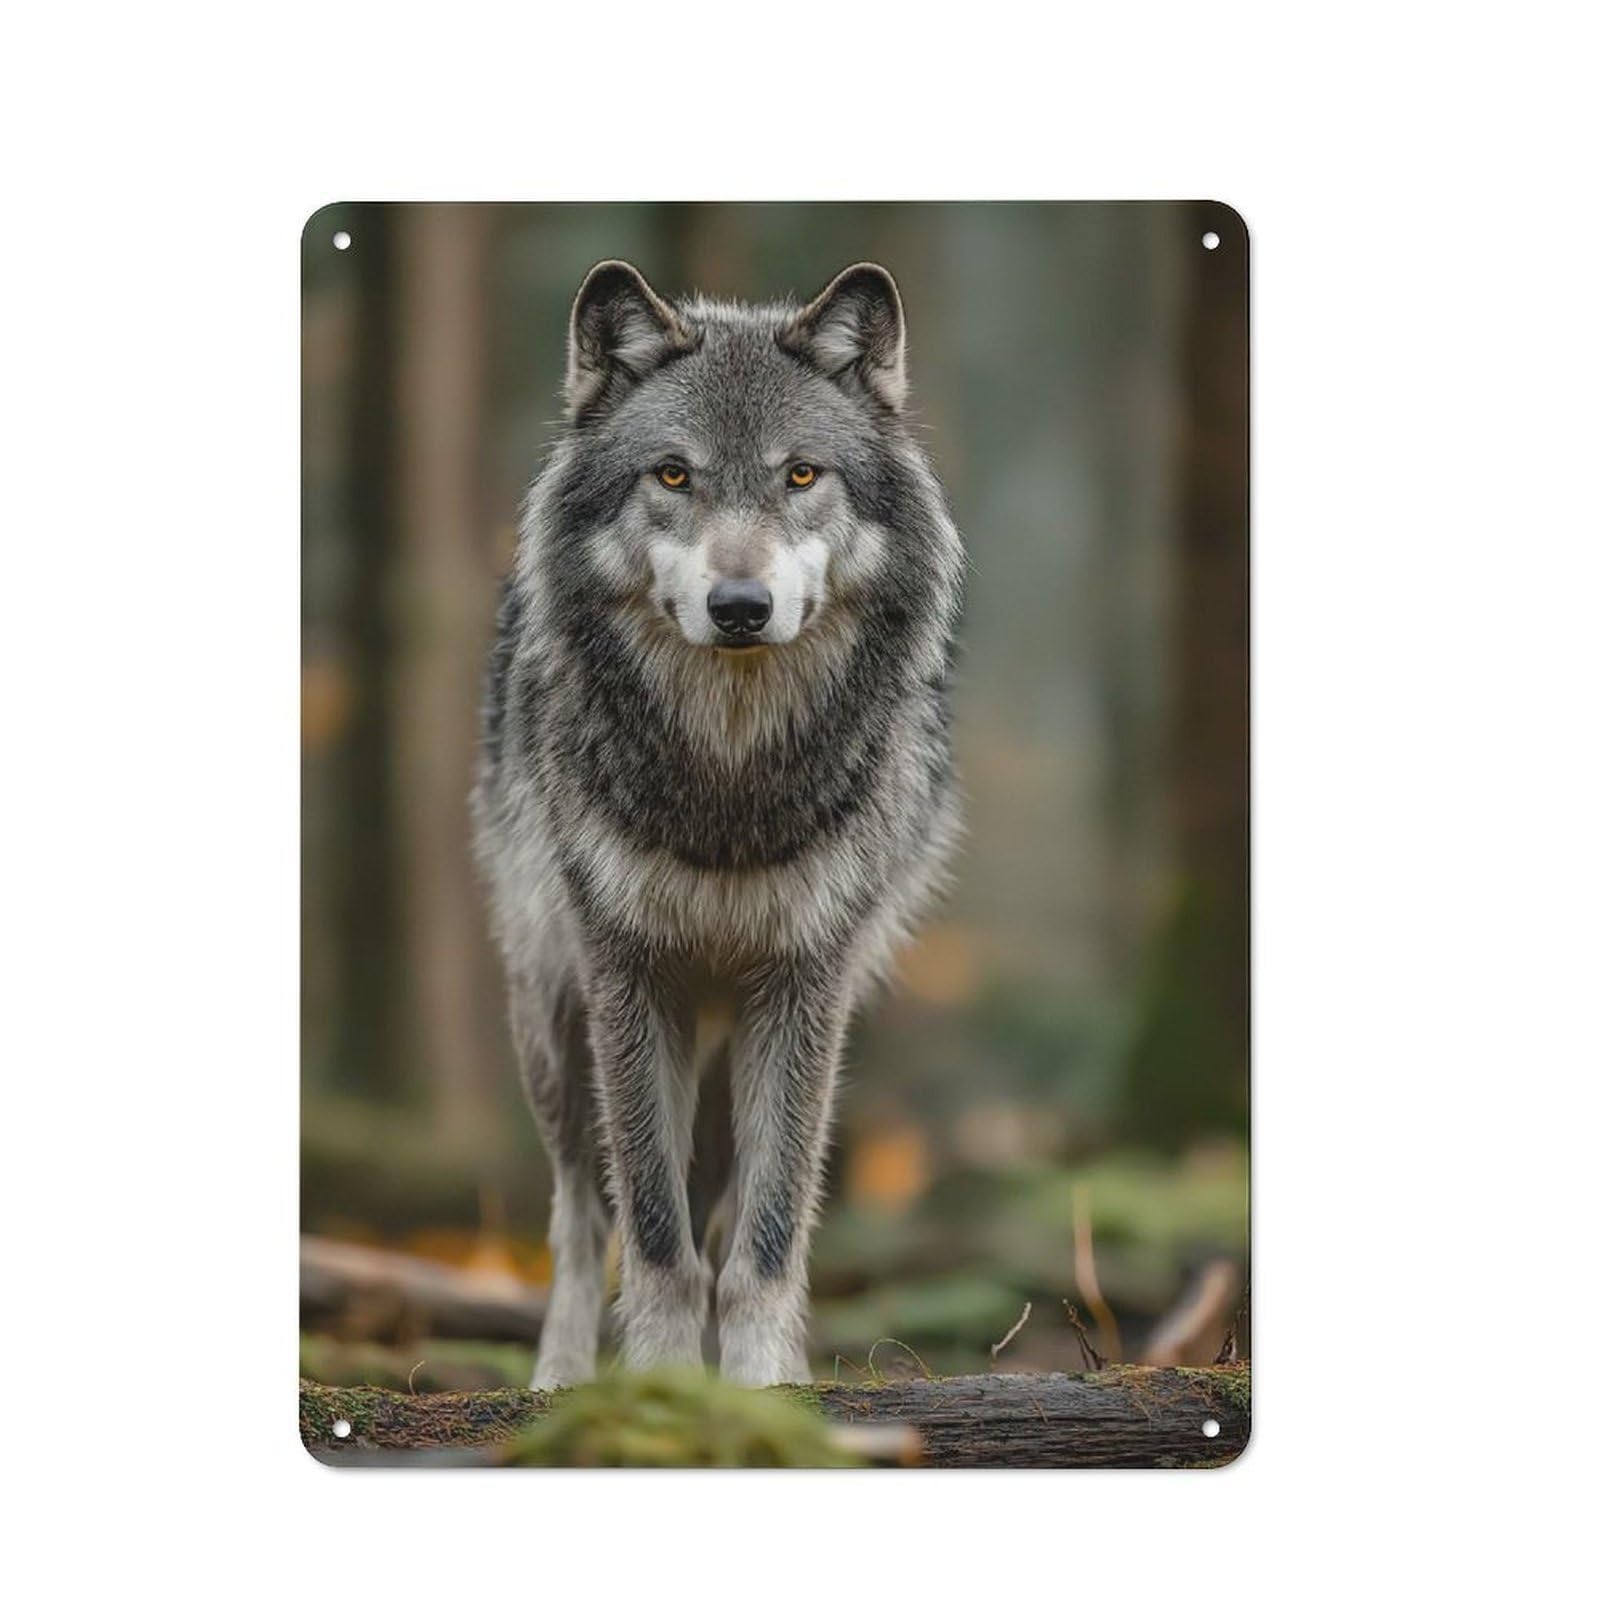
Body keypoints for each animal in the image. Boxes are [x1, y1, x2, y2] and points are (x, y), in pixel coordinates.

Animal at [472, 258, 963, 1387]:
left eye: (801, 477)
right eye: (672, 477)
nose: (741, 605)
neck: (728, 787)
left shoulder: (806, 982)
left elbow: (769, 1229)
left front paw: (760, 1388)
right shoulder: (625, 971)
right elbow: (649, 1226)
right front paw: (656, 1383)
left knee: (725, 1204)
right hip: (551, 1020)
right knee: (578, 1216)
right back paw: (561, 1377)